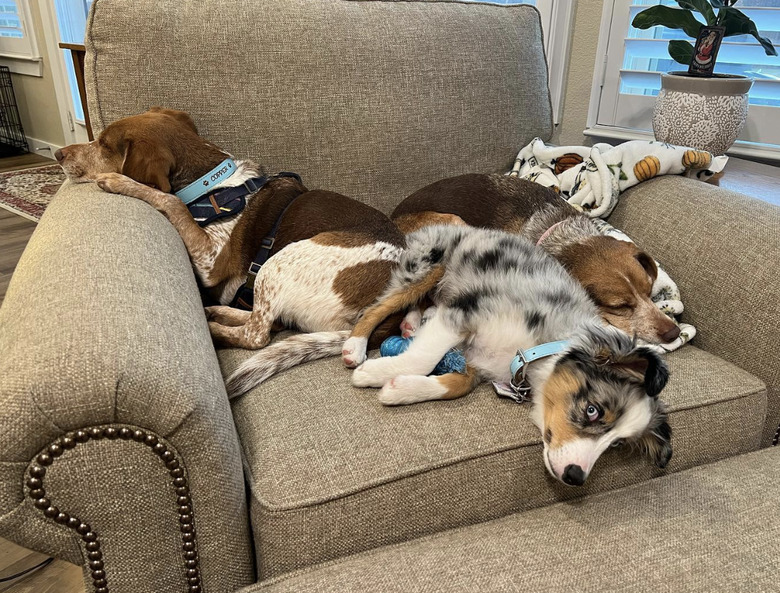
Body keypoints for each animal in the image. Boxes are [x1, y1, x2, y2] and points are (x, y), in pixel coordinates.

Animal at [348, 224, 672, 484]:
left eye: (617, 444)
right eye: (593, 410)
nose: (575, 477)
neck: (534, 350)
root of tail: (474, 229)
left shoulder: (475, 357)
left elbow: (458, 384)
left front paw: (399, 388)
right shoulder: (467, 311)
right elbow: (424, 357)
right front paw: (375, 374)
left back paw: (411, 324)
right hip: (429, 265)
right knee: (379, 306)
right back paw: (355, 347)